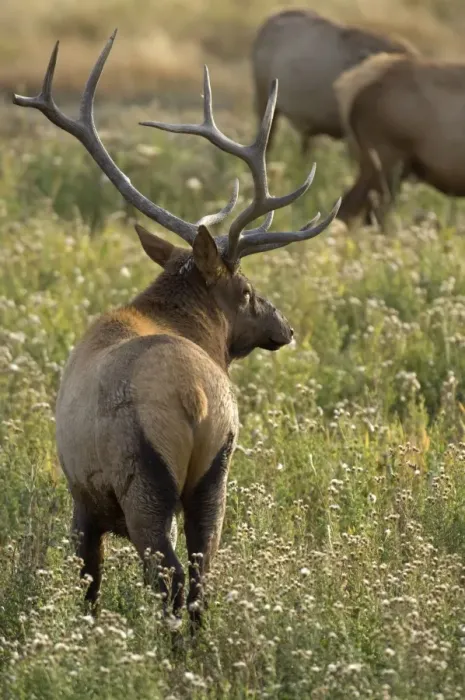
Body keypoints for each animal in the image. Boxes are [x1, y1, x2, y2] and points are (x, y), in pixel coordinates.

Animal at [12, 30, 340, 631]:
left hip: (144, 481)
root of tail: (196, 398)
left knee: (168, 577)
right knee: (202, 573)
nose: (283, 327)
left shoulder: (81, 497)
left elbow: (89, 585)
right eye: (248, 289)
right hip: (216, 473)